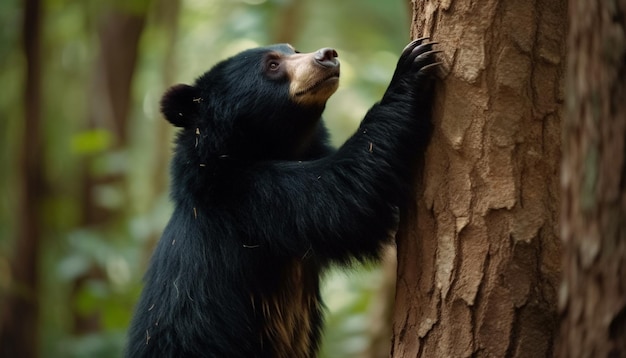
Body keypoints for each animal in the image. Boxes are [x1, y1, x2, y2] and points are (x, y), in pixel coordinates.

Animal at [125, 39, 434, 358]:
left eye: (294, 50)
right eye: (272, 65)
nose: (327, 55)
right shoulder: (249, 201)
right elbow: (343, 195)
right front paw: (412, 67)